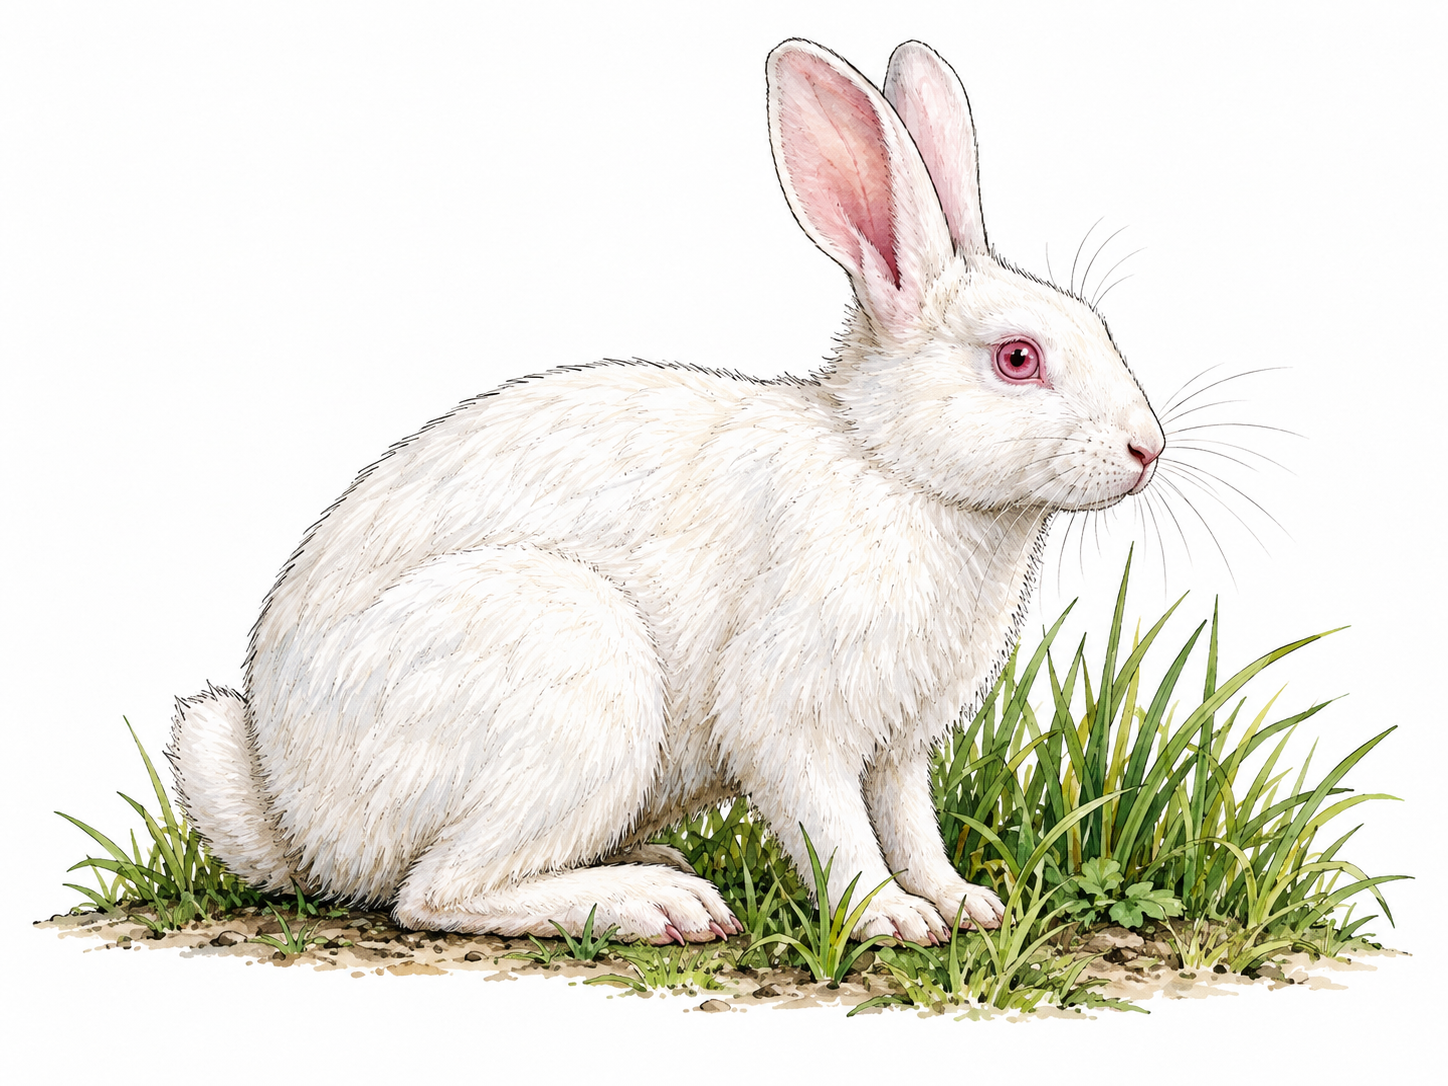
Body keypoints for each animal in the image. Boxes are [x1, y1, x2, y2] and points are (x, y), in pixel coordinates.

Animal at [167, 38, 1164, 947]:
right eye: (1018, 359)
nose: (1147, 448)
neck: (891, 463)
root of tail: (291, 811)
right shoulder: (790, 713)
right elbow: (833, 825)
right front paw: (888, 918)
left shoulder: (898, 745)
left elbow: (909, 824)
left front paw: (962, 904)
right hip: (571, 675)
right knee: (435, 894)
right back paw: (660, 905)